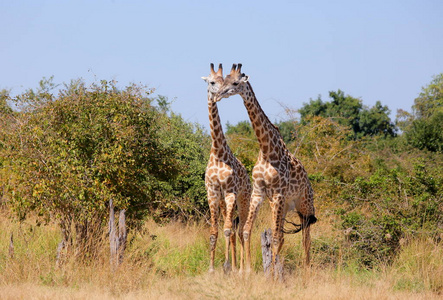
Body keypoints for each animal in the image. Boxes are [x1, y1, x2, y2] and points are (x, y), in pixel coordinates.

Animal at [215, 63, 316, 278]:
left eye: (235, 83)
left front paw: (273, 274)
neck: (267, 150)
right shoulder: (259, 192)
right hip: (285, 206)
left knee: (306, 236)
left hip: (304, 205)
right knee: (287, 235)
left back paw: (306, 269)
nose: (218, 95)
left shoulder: (277, 193)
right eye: (224, 80)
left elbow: (276, 237)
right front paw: (247, 271)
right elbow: (247, 230)